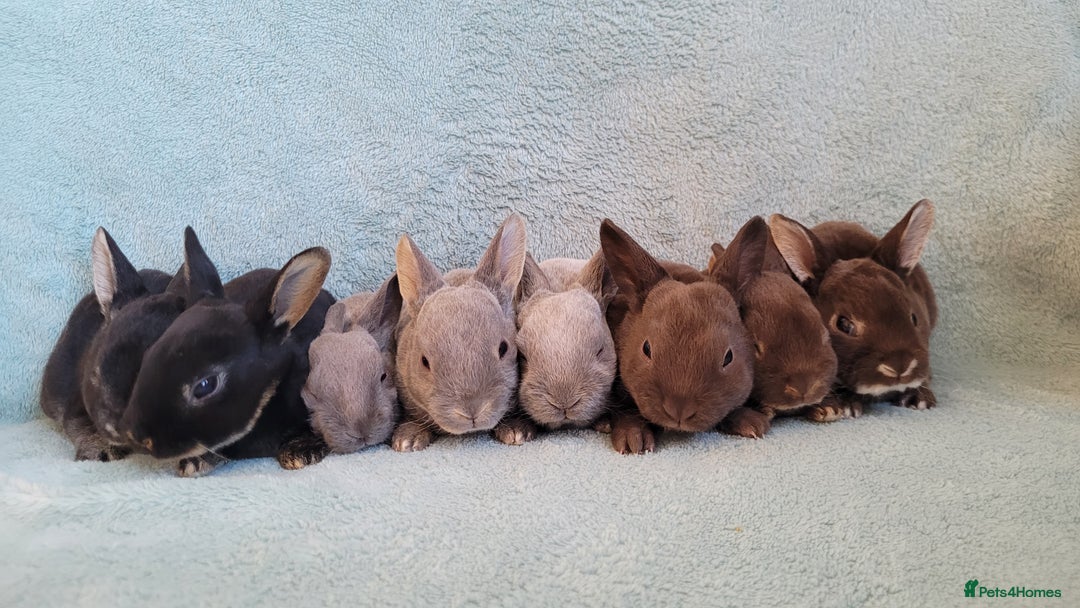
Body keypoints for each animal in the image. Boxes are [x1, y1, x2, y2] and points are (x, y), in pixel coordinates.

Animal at [599, 217, 767, 454]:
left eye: (728, 357)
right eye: (646, 349)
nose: (679, 410)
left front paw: (751, 422)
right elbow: (625, 410)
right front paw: (634, 438)